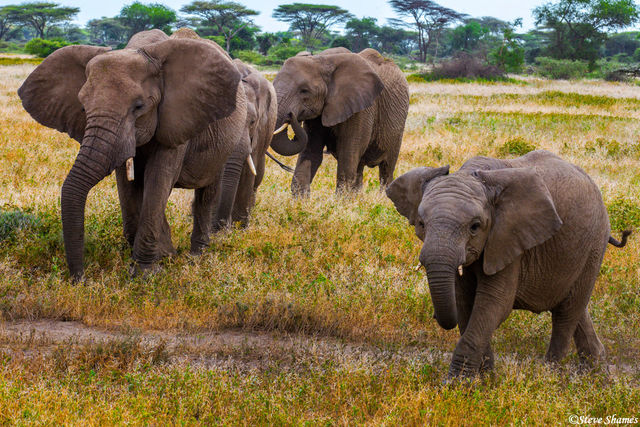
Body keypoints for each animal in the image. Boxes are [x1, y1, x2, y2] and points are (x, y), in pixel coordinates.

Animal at [18, 29, 250, 280]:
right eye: (83, 107)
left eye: (138, 107)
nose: (79, 279)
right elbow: (128, 184)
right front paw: (162, 257)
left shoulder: (177, 118)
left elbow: (158, 179)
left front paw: (145, 273)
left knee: (207, 192)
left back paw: (196, 256)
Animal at [270, 47, 409, 195]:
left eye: (304, 91)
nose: (291, 116)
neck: (320, 60)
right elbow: (311, 153)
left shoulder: (361, 109)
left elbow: (347, 155)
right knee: (359, 166)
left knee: (386, 168)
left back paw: (383, 197)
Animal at [386, 150, 631, 378]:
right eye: (421, 224)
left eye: (475, 227)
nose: (435, 317)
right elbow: (464, 302)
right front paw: (485, 380)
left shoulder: (510, 238)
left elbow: (494, 304)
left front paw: (457, 386)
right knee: (574, 306)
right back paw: (597, 376)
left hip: (594, 246)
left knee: (566, 313)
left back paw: (551, 378)